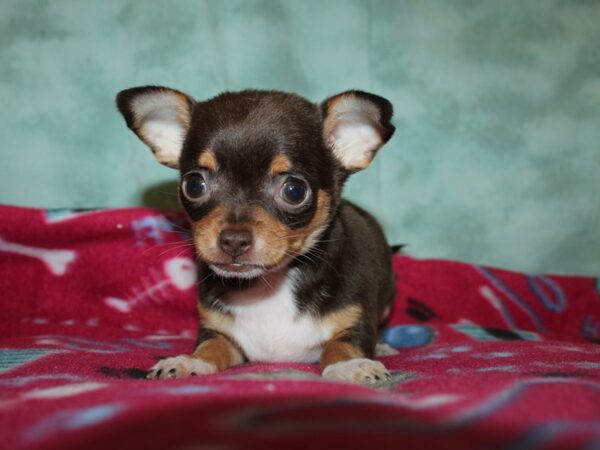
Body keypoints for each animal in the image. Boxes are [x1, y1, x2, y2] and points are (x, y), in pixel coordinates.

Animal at [117, 87, 398, 384]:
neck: (270, 287)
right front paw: (187, 361)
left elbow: (342, 345)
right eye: (193, 185)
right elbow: (210, 347)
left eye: (294, 191)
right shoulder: (221, 334)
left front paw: (350, 365)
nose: (233, 240)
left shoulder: (355, 322)